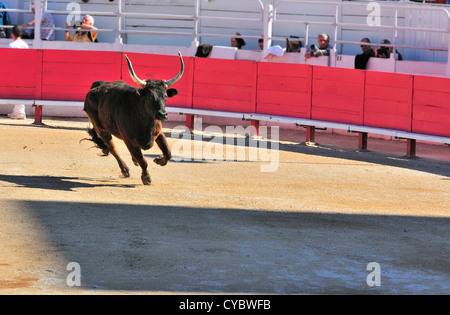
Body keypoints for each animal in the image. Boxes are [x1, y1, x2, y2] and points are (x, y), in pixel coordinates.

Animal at [83, 51, 184, 185]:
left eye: (165, 96)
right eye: (149, 97)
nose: (163, 114)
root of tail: (97, 84)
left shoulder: (159, 132)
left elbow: (168, 152)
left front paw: (158, 160)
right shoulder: (129, 140)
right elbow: (143, 161)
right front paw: (146, 178)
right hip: (101, 129)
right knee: (112, 148)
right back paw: (125, 170)